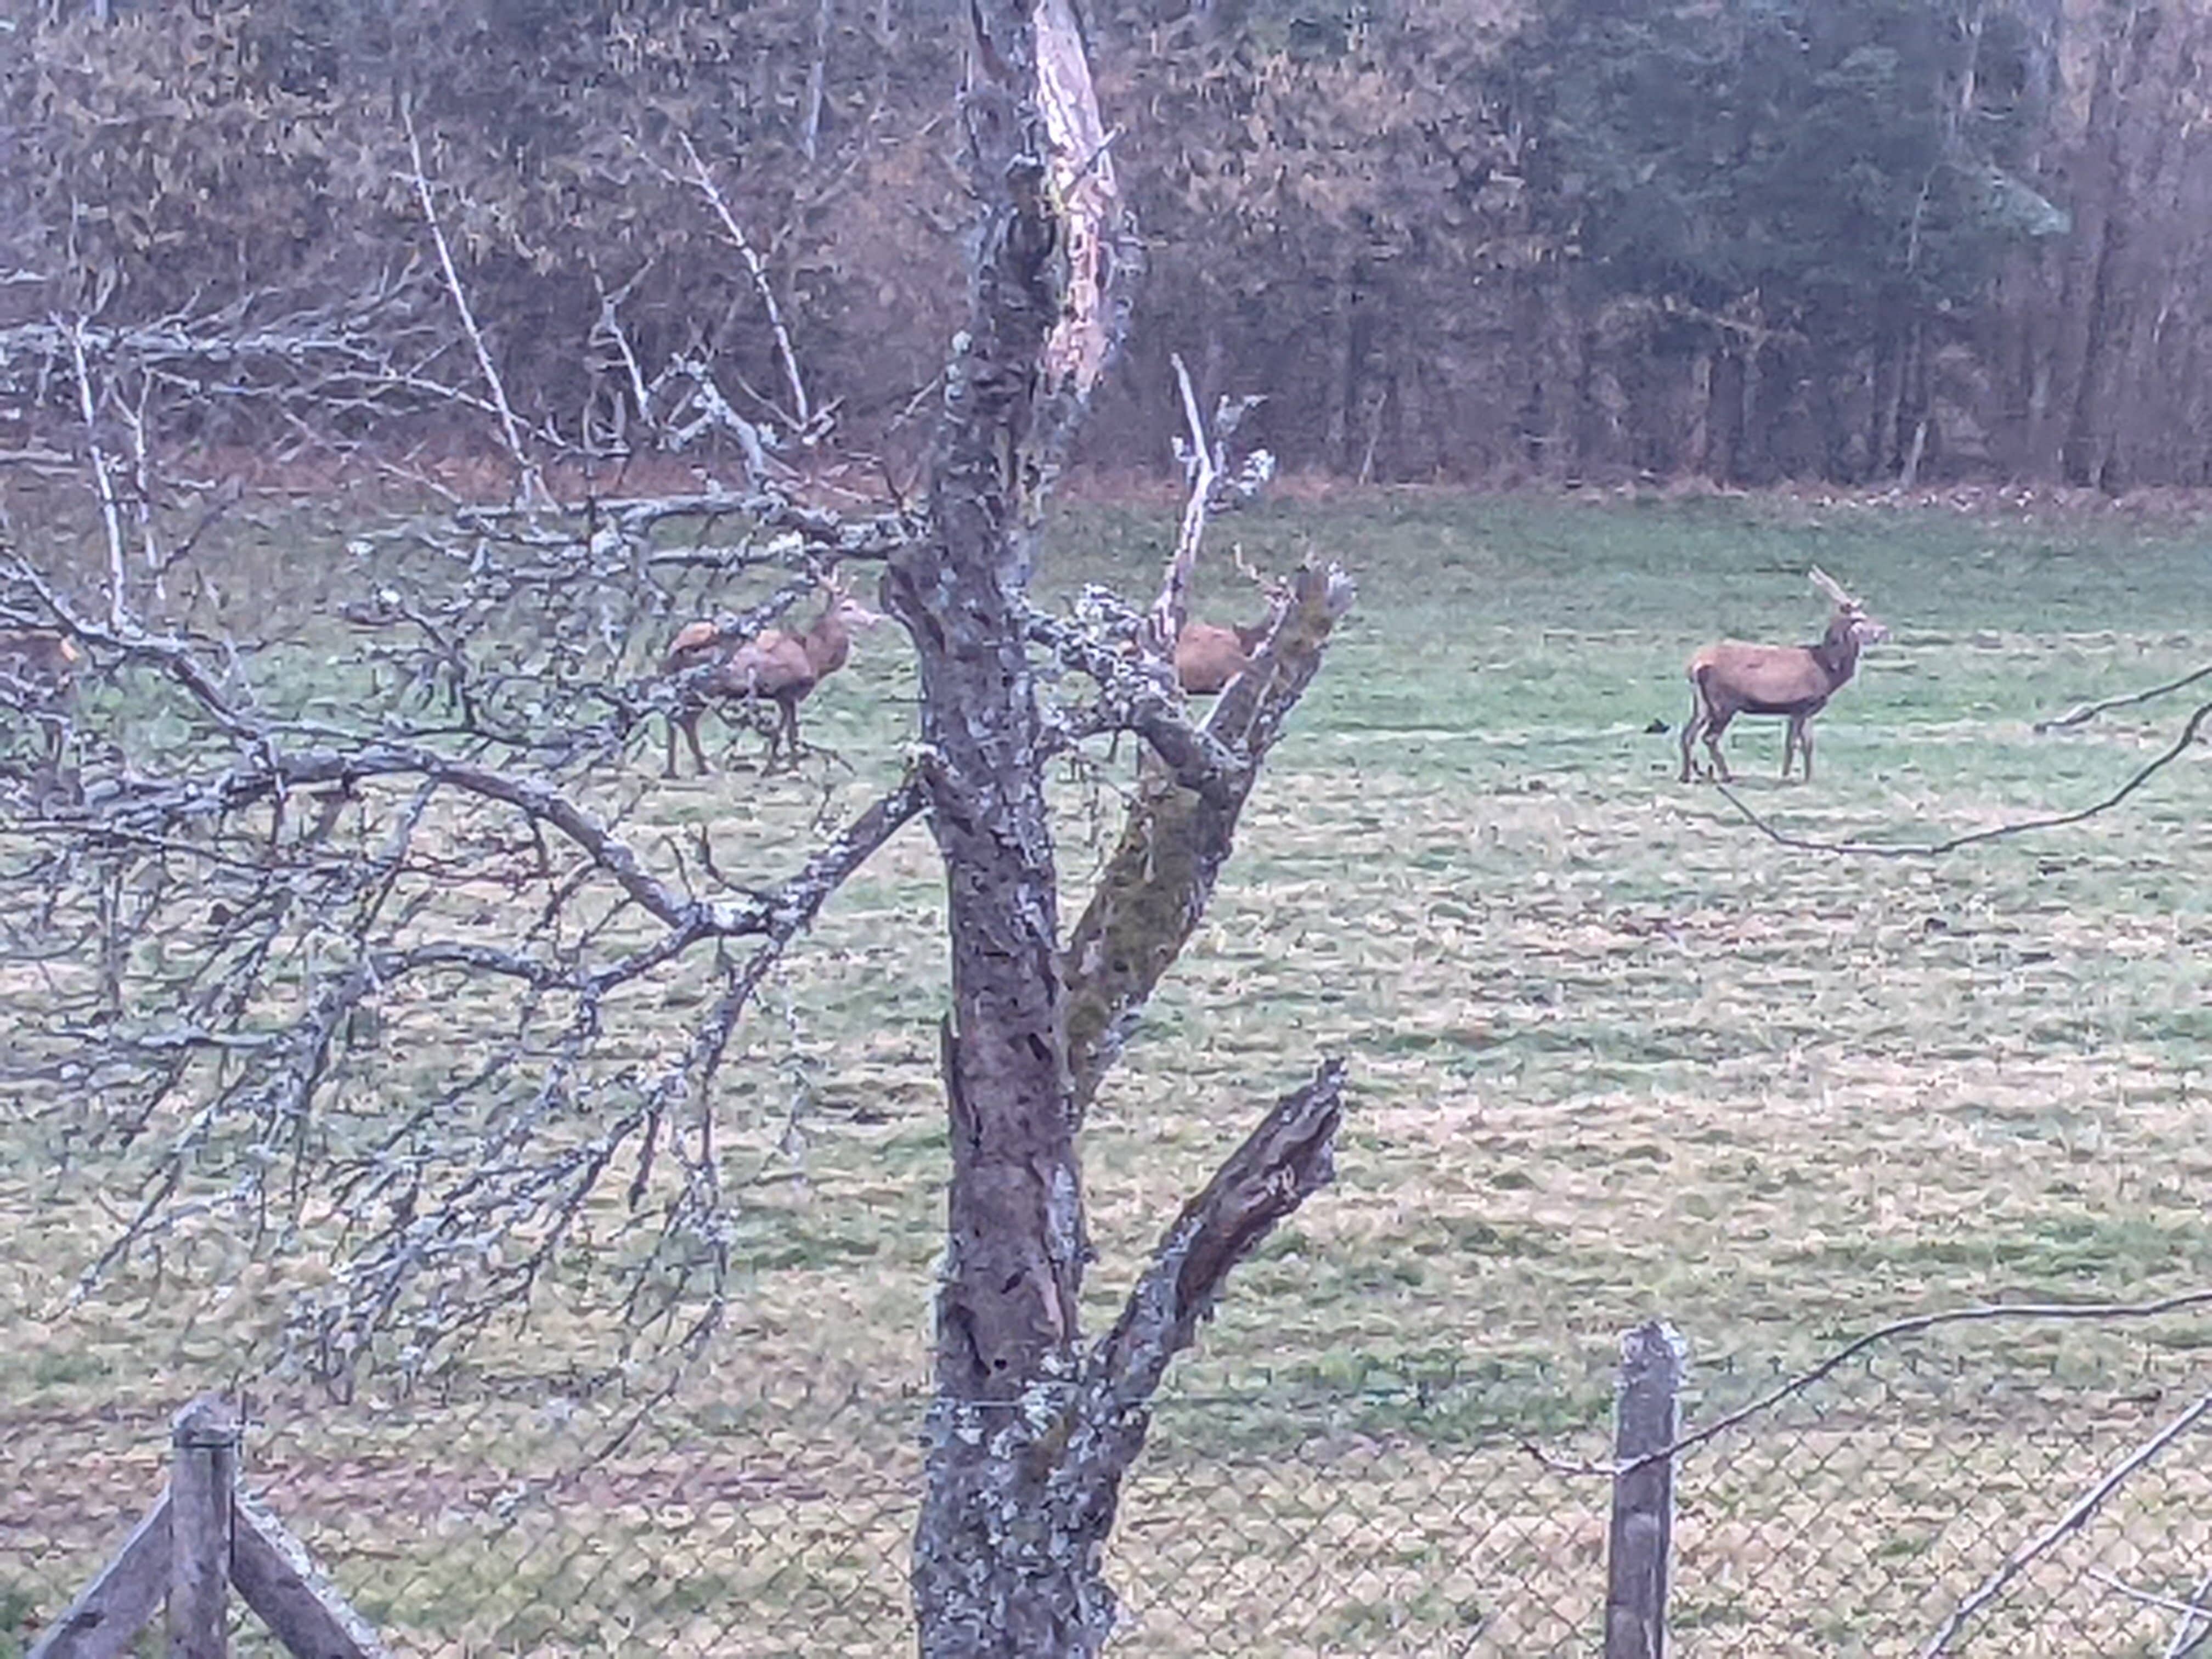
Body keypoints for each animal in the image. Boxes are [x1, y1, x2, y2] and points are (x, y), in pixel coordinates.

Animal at [659, 579, 884, 778]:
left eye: (858, 603)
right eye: (847, 607)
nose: (875, 620)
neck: (813, 656)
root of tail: (673, 646)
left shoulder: (781, 696)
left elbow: (781, 731)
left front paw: (772, 768)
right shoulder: (786, 690)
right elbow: (791, 732)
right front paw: (792, 769)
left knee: (674, 718)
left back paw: (673, 770)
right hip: (703, 685)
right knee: (686, 720)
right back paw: (702, 767)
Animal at [1672, 566, 1884, 787]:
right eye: (1862, 620)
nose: (1884, 631)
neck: (1827, 670)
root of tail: (1694, 666)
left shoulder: (1801, 710)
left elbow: (1802, 743)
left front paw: (1801, 776)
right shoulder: (1802, 704)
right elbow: (1796, 743)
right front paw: (1792, 778)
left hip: (1702, 704)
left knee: (1687, 734)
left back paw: (1686, 776)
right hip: (1724, 703)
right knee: (1709, 737)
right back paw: (1726, 776)